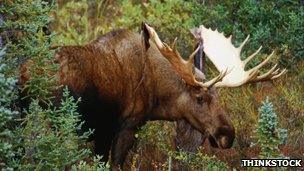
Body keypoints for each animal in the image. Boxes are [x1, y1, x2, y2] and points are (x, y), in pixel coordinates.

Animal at [19, 22, 284, 170]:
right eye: (200, 99)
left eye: (219, 99)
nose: (227, 135)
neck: (157, 95)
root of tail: (24, 74)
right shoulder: (126, 126)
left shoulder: (104, 132)